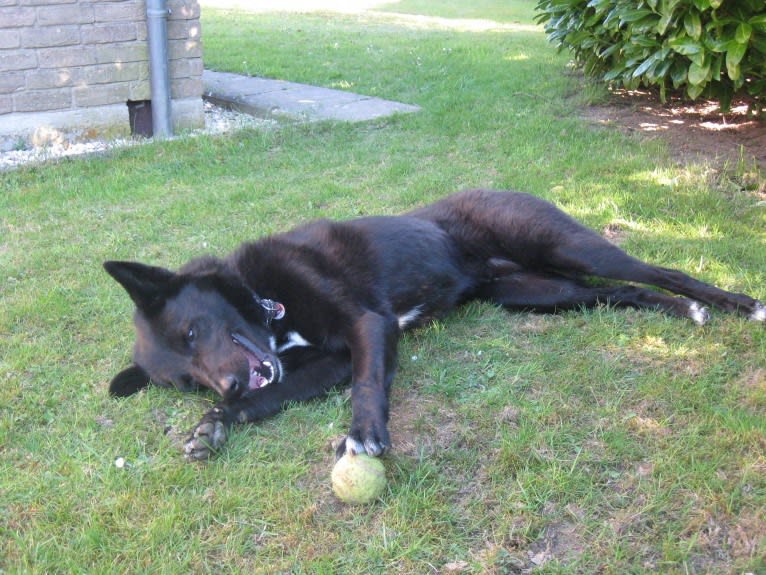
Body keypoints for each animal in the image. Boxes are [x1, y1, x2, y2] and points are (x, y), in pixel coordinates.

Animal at [105, 191, 764, 462]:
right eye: (184, 381)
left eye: (192, 334)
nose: (229, 385)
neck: (269, 303)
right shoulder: (325, 362)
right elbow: (274, 399)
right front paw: (214, 425)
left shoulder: (367, 327)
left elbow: (368, 385)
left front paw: (364, 436)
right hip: (539, 294)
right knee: (623, 293)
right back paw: (683, 314)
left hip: (570, 249)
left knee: (662, 271)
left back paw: (735, 303)